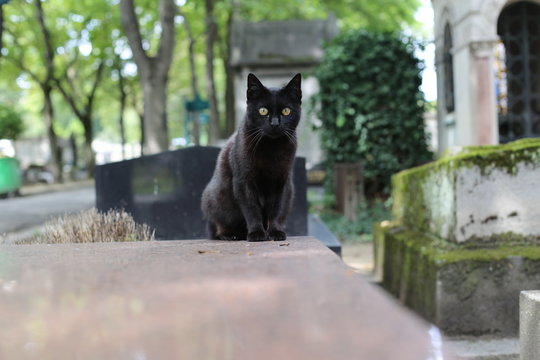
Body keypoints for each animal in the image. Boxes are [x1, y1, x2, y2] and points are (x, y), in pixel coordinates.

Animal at [202, 73, 302, 242]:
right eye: (262, 110)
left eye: (286, 111)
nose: (275, 123)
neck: (271, 149)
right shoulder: (244, 181)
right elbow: (251, 209)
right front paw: (256, 233)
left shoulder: (281, 182)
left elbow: (276, 210)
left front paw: (275, 232)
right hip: (214, 198)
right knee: (215, 227)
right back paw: (230, 235)